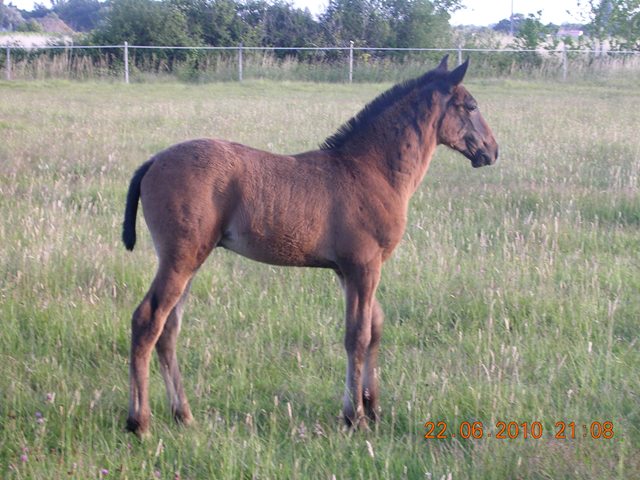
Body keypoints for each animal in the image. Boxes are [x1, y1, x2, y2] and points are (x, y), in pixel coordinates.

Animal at [122, 55, 498, 436]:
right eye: (471, 106)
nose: (492, 150)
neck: (371, 170)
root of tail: (153, 161)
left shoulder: (349, 270)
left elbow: (374, 327)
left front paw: (372, 407)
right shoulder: (364, 266)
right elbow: (357, 335)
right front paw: (355, 416)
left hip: (190, 261)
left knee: (168, 330)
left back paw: (183, 414)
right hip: (180, 258)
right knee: (147, 321)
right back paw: (140, 421)